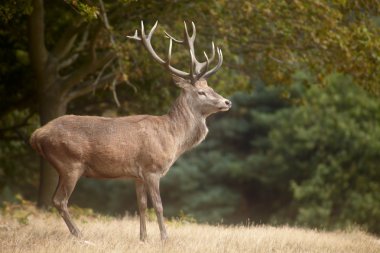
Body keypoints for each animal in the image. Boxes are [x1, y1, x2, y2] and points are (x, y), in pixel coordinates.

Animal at [29, 20, 230, 240]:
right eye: (201, 92)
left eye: (211, 88)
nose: (227, 102)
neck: (173, 137)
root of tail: (36, 135)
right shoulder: (152, 168)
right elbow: (158, 206)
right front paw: (164, 238)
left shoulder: (137, 175)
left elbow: (141, 206)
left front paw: (143, 238)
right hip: (70, 163)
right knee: (60, 200)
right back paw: (81, 236)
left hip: (61, 166)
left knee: (55, 199)